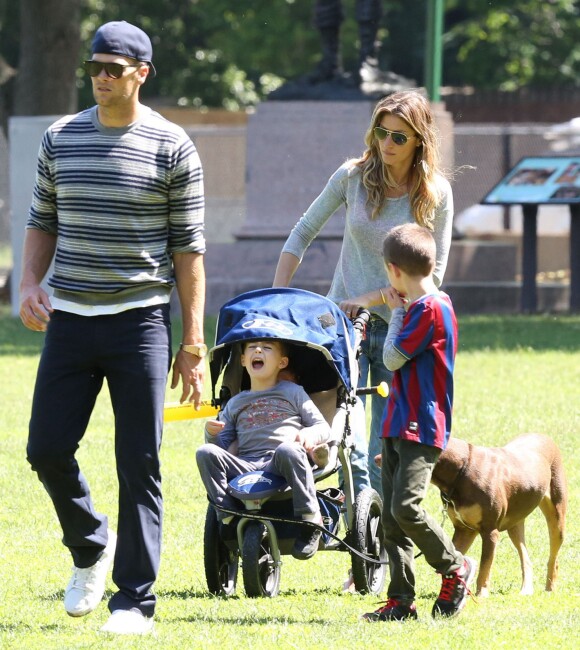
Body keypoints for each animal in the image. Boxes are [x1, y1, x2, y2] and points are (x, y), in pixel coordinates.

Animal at [432, 432, 568, 596]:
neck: (461, 470)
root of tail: (543, 436)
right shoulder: (464, 530)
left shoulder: (490, 531)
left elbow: (485, 566)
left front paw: (481, 594)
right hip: (515, 523)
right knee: (525, 558)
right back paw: (526, 590)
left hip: (557, 516)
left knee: (554, 558)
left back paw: (549, 589)